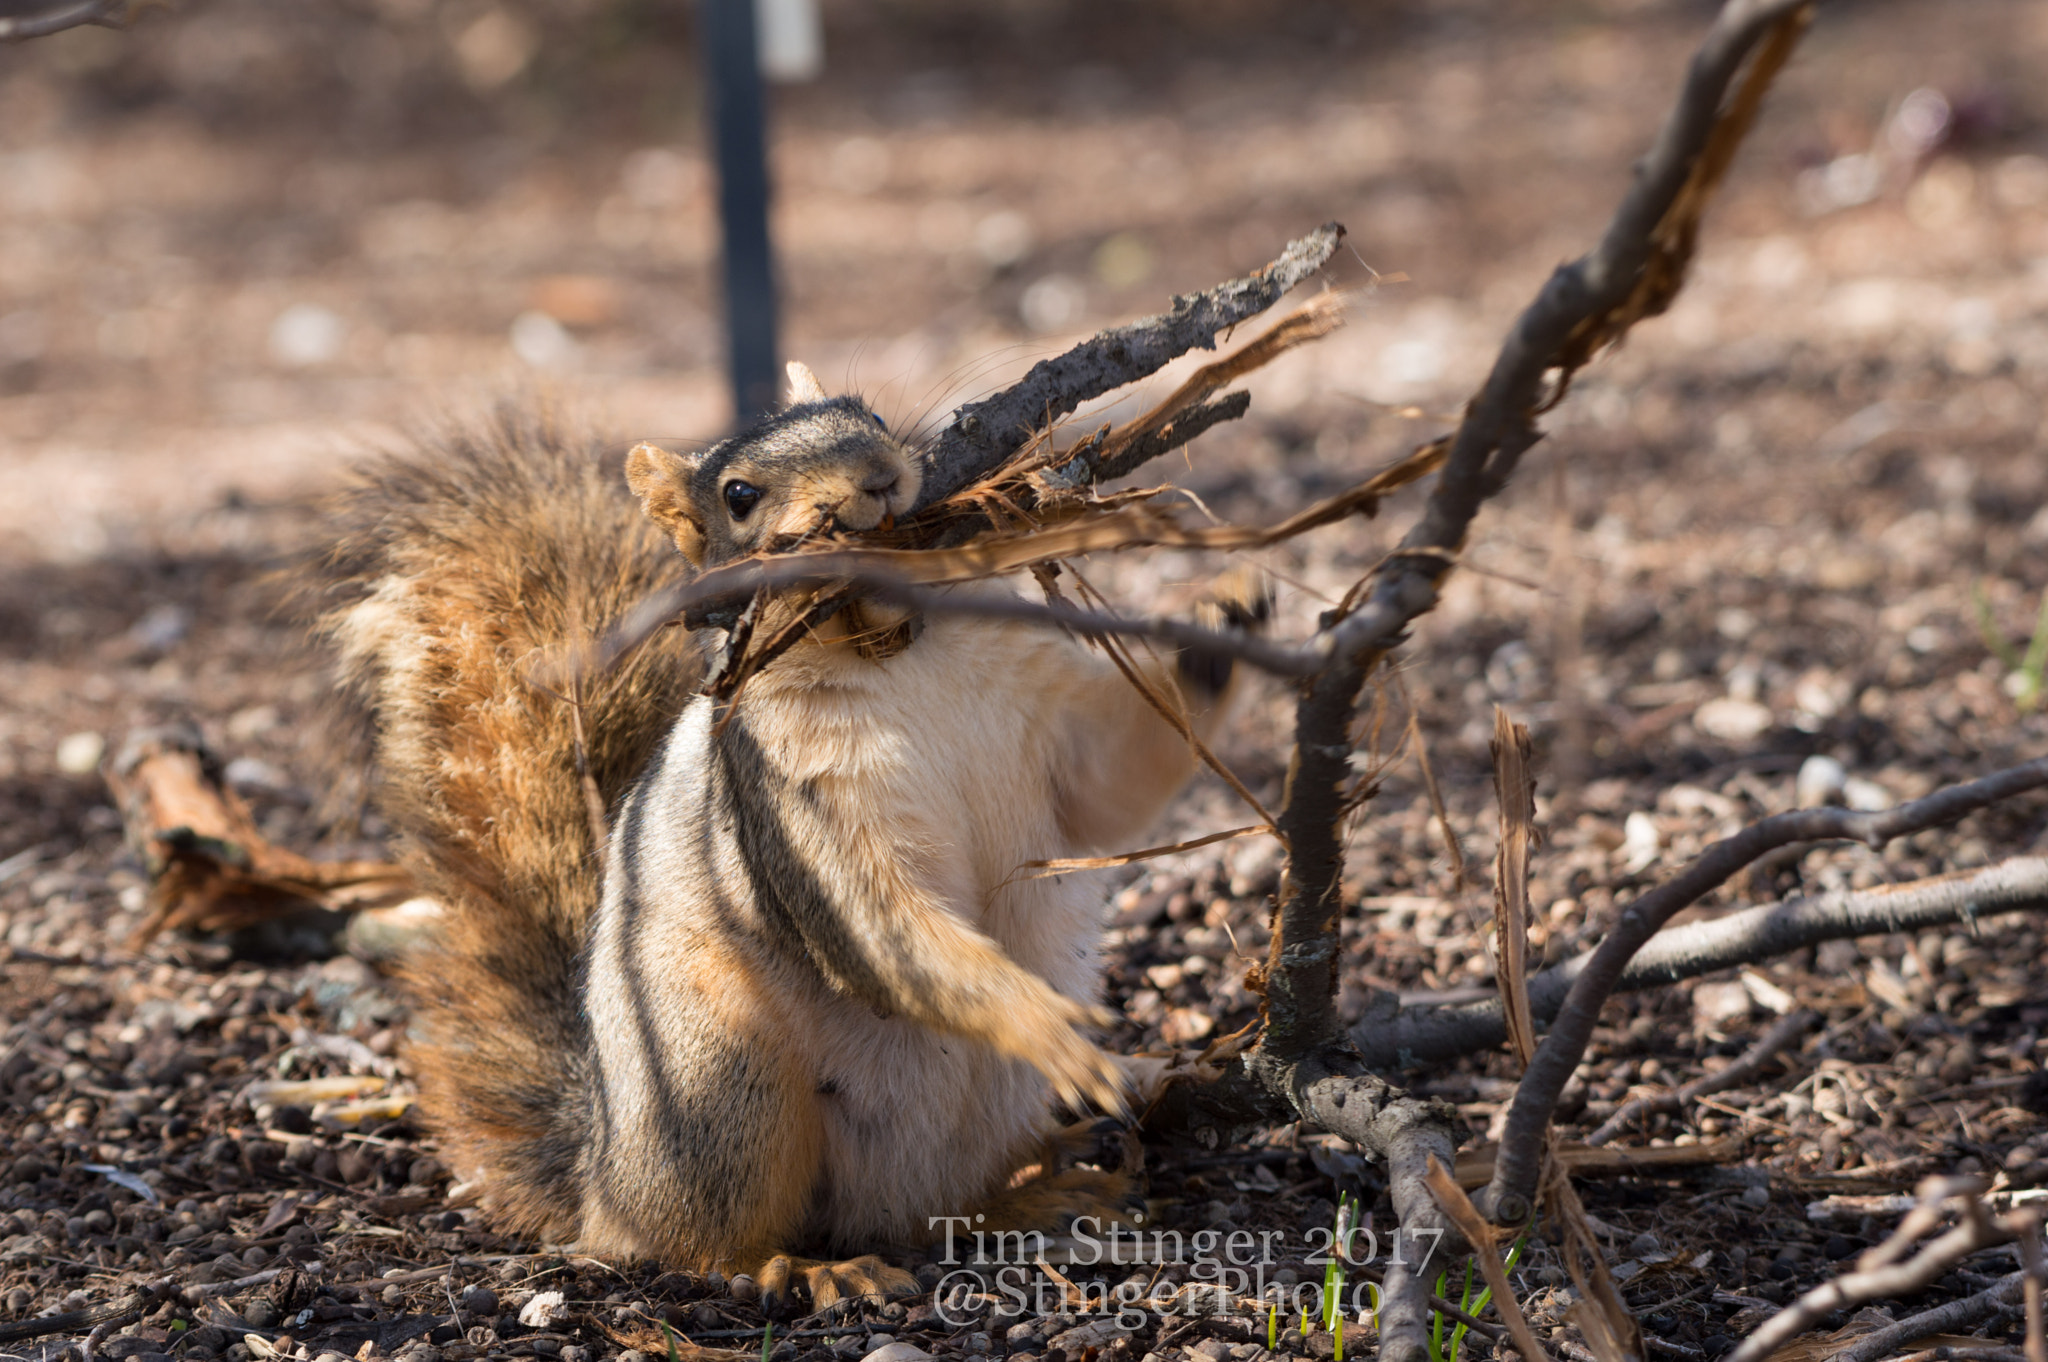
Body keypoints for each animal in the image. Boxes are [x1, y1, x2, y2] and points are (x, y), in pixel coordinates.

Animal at [320, 364, 1263, 1310]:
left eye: (867, 413)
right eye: (739, 496)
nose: (876, 478)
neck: (891, 645)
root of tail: (601, 1176)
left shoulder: (1055, 726)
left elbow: (1112, 789)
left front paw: (1227, 617)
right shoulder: (789, 801)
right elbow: (878, 925)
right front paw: (1055, 1031)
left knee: (937, 1211)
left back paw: (1053, 1186)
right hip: (721, 1082)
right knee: (700, 1243)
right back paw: (807, 1267)